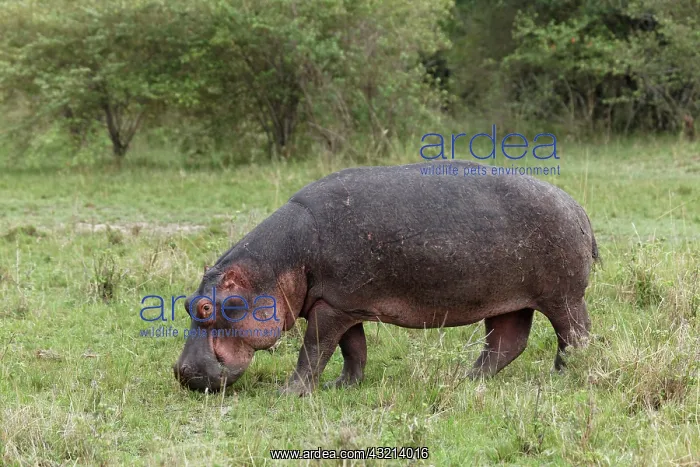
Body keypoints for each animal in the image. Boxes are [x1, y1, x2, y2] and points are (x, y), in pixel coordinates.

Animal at [174, 161, 598, 395]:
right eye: (187, 303)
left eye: (208, 307)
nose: (182, 372)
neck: (279, 262)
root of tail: (577, 207)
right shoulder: (341, 303)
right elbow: (352, 350)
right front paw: (342, 386)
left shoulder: (332, 308)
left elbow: (313, 350)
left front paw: (288, 393)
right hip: (508, 299)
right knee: (506, 342)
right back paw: (464, 378)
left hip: (562, 296)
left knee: (574, 334)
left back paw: (563, 375)